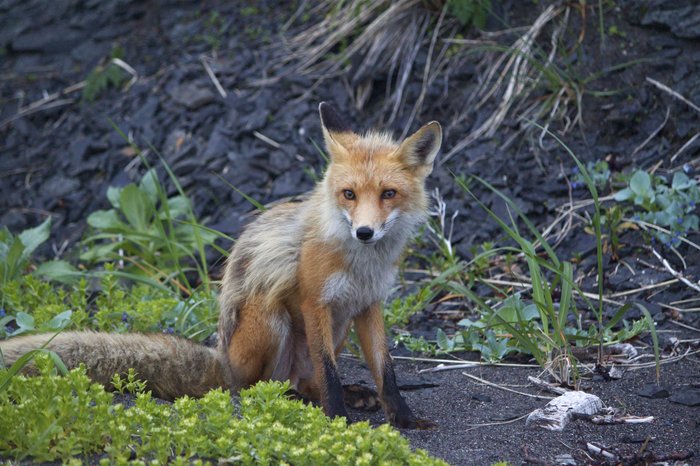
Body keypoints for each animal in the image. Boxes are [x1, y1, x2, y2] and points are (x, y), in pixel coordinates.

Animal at [0, 102, 441, 429]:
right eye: (349, 194)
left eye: (388, 194)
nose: (365, 232)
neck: (361, 263)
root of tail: (222, 360)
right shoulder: (315, 302)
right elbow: (329, 375)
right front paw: (337, 419)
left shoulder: (368, 305)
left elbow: (386, 371)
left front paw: (403, 418)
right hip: (272, 319)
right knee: (256, 387)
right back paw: (289, 399)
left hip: (340, 325)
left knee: (307, 380)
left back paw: (340, 395)